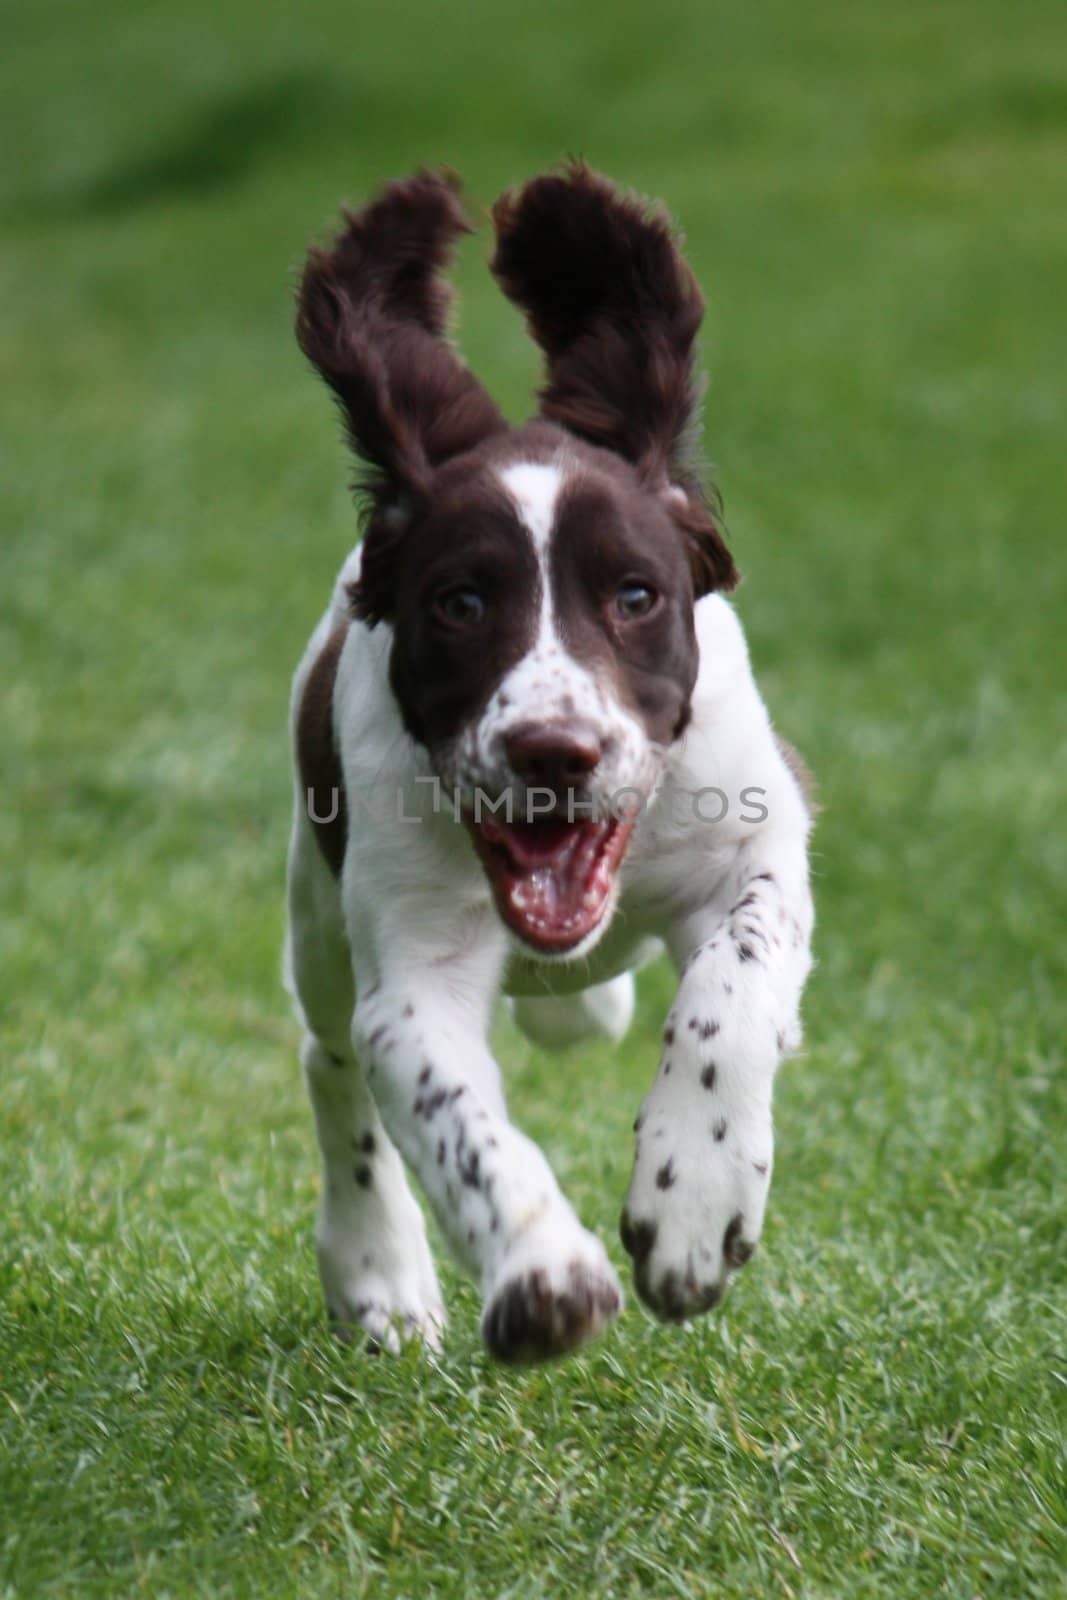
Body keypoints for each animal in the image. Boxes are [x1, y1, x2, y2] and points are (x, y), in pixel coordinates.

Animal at [286, 165, 819, 1363]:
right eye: (459, 602)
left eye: (634, 594)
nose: (552, 751)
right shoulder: (410, 969)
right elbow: (445, 1106)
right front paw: (542, 1274)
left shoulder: (757, 837)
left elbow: (731, 984)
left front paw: (693, 1198)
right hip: (316, 908)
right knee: (329, 1059)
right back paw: (378, 1271)